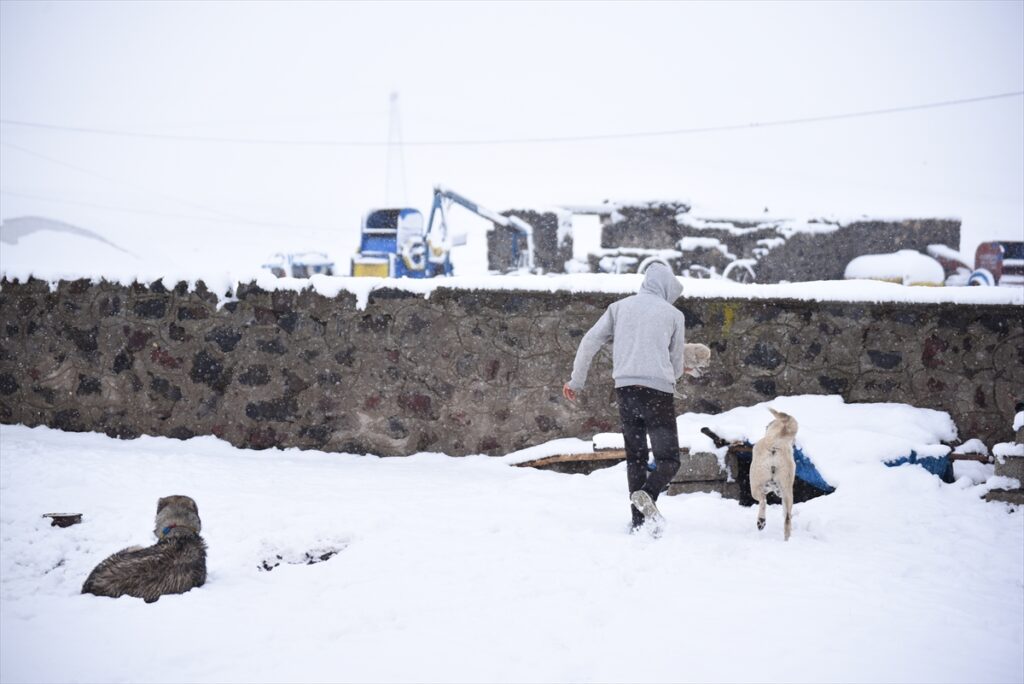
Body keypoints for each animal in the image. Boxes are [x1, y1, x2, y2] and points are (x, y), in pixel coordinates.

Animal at [749, 409, 794, 540]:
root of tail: (775, 443)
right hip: (787, 491)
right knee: (787, 518)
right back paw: (787, 540)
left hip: (755, 486)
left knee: (763, 501)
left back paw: (761, 521)